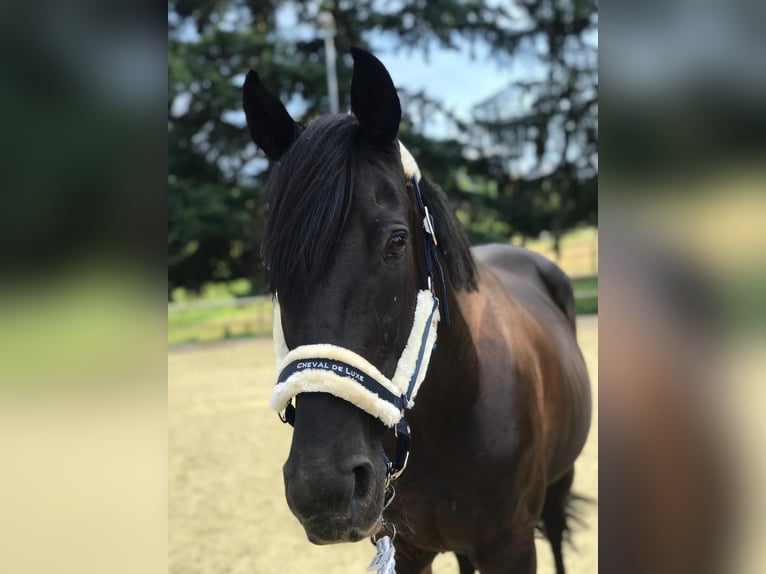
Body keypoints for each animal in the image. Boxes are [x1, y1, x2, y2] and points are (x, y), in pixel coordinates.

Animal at [242, 47, 591, 574]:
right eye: (272, 264)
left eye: (397, 241)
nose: (323, 488)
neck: (457, 411)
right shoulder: (407, 550)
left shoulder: (512, 546)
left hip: (558, 484)